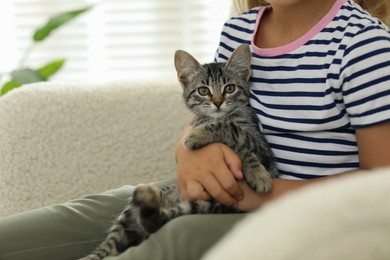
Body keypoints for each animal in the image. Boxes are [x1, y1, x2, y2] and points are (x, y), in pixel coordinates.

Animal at [80, 43, 278, 258]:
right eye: (203, 90)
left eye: (230, 88)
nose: (217, 102)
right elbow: (232, 132)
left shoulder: (261, 145)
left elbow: (233, 131)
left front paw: (258, 175)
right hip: (132, 213)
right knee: (109, 247)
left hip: (206, 206)